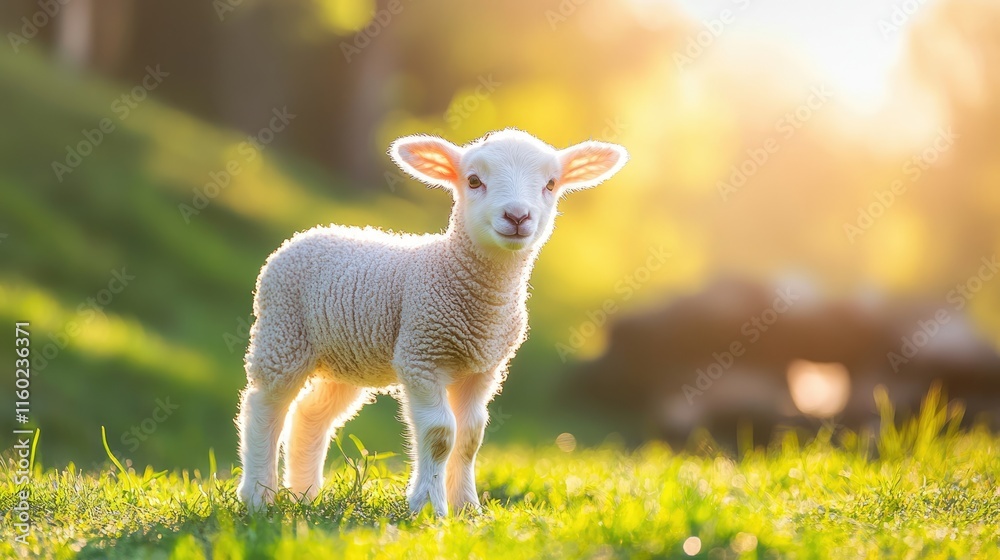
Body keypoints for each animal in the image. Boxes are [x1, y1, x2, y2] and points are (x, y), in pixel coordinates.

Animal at [236, 128, 628, 515]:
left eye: (550, 184)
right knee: (263, 406)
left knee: (311, 414)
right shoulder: (421, 355)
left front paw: (467, 507)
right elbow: (441, 434)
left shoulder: (484, 368)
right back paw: (257, 496)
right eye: (473, 180)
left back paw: (305, 495)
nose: (518, 216)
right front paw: (428, 506)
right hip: (283, 333)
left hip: (345, 357)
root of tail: (309, 232)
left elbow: (470, 436)